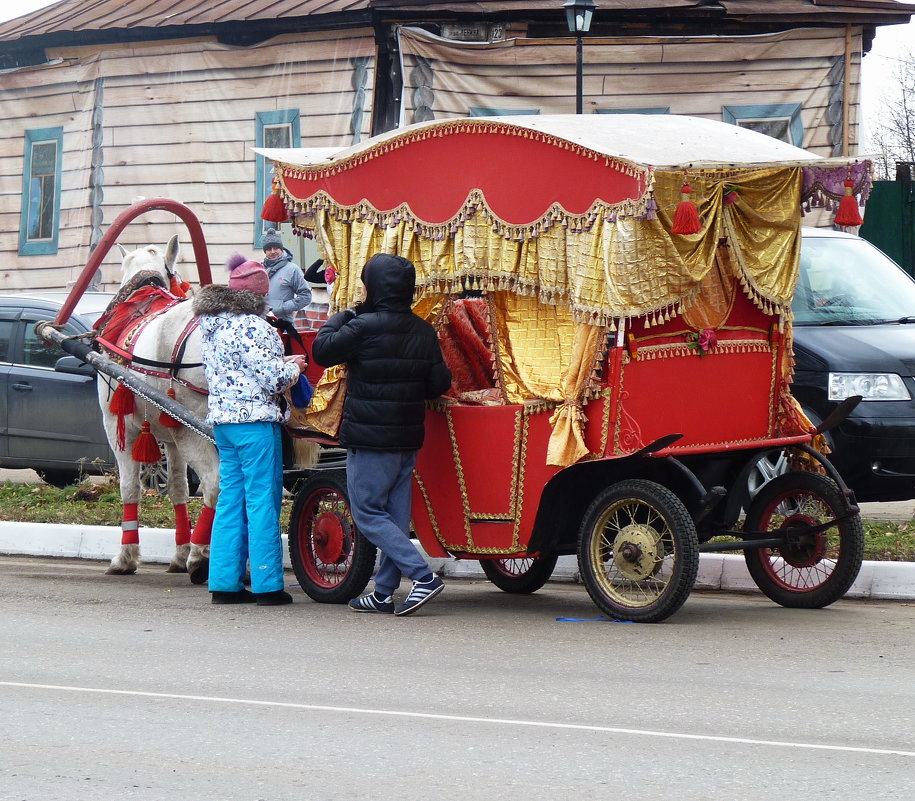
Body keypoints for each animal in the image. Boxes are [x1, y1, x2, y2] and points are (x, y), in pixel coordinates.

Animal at [98, 236, 218, 580]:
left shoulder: (116, 424)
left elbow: (129, 488)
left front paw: (125, 557)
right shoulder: (170, 437)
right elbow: (178, 488)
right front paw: (179, 553)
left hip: (197, 431)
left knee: (216, 484)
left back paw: (202, 556)